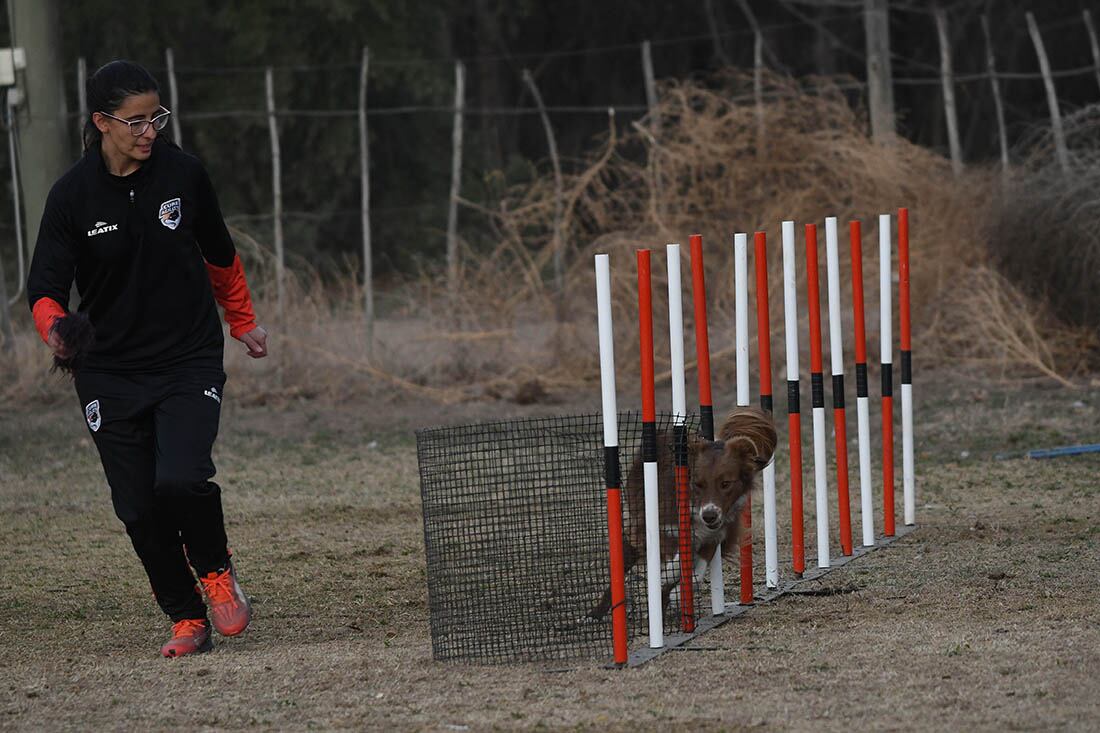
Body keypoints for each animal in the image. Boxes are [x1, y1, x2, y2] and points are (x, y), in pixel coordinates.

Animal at [589, 405, 778, 616]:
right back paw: (597, 613)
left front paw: (677, 593)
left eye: (725, 484)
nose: (709, 516)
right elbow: (678, 556)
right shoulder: (651, 527)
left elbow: (697, 570)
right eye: (698, 484)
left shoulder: (716, 535)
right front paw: (667, 577)